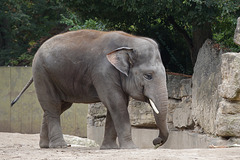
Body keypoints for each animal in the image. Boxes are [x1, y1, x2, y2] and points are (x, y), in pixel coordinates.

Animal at [10, 29, 169, 149]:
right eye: (148, 76)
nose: (155, 142)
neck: (130, 41)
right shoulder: (103, 72)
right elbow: (116, 103)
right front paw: (131, 148)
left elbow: (118, 104)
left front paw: (109, 148)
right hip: (42, 73)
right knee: (53, 106)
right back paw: (60, 146)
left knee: (58, 107)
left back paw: (45, 146)